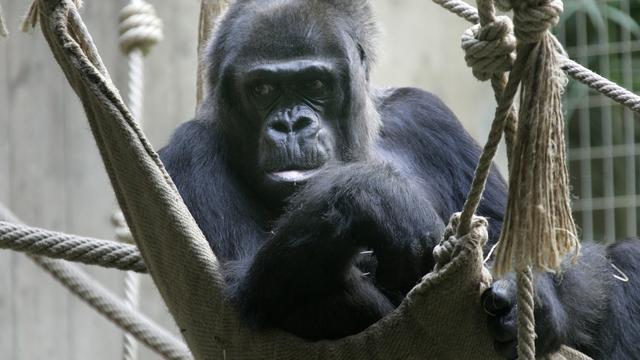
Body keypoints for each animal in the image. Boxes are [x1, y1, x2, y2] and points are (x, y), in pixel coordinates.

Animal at [156, 0, 640, 358]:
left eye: (315, 84)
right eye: (262, 90)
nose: (291, 124)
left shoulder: (425, 115)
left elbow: (534, 240)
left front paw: (537, 298)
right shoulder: (189, 153)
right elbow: (243, 292)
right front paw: (378, 198)